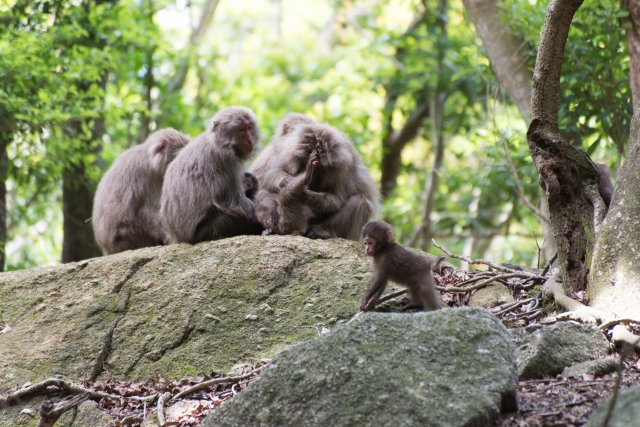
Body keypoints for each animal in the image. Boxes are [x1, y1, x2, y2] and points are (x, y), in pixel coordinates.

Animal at [161, 106, 264, 244]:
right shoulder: (226, 160)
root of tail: (179, 238)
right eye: (241, 129)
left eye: (249, 127)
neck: (218, 142)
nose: (250, 140)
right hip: (205, 232)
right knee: (235, 214)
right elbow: (238, 202)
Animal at [249, 113, 380, 241]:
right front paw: (288, 181)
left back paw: (320, 230)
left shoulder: (341, 168)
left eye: (318, 164)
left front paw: (304, 194)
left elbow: (336, 199)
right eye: (306, 159)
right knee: (264, 192)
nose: (310, 171)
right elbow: (272, 173)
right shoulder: (285, 152)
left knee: (361, 201)